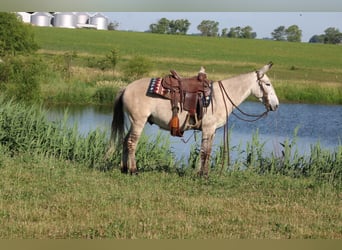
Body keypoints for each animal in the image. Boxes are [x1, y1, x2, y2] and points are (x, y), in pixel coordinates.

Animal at [108, 61, 280, 177]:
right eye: (267, 84)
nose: (276, 105)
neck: (218, 97)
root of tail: (126, 87)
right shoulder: (208, 129)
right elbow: (205, 152)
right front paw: (201, 175)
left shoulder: (212, 131)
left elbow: (208, 151)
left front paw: (204, 173)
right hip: (138, 121)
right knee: (132, 142)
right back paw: (133, 170)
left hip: (134, 122)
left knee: (125, 141)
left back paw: (124, 168)